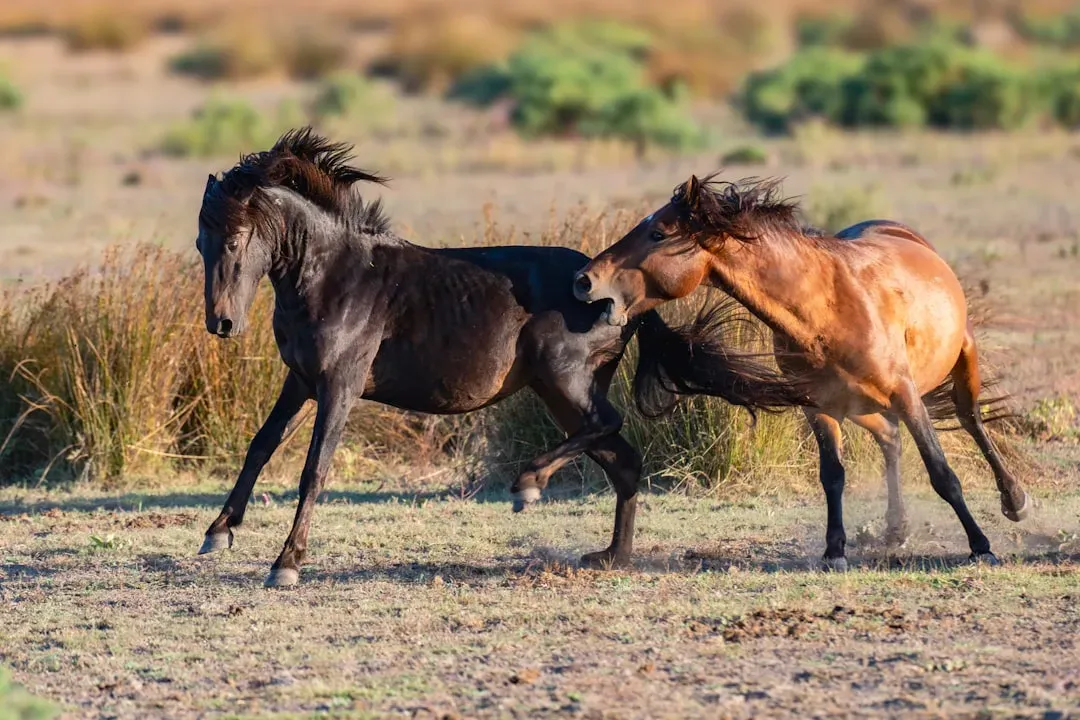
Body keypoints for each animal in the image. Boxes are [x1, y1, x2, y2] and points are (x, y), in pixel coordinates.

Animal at [193, 130, 813, 586]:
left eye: (237, 240)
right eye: (202, 243)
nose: (221, 324)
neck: (335, 277)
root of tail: (615, 293)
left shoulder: (340, 385)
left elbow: (313, 469)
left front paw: (286, 564)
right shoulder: (300, 380)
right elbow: (260, 446)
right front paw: (217, 532)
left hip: (563, 381)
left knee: (607, 426)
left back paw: (528, 486)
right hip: (559, 392)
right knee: (623, 460)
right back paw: (611, 556)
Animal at [572, 173, 1031, 569]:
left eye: (659, 234)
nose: (583, 280)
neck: (826, 309)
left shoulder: (905, 393)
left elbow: (941, 472)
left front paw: (981, 546)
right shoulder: (819, 406)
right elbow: (833, 476)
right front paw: (834, 551)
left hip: (960, 358)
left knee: (970, 419)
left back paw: (1014, 500)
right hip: (860, 405)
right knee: (890, 438)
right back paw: (895, 530)